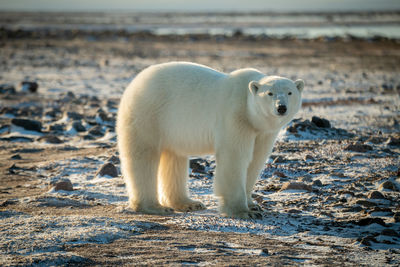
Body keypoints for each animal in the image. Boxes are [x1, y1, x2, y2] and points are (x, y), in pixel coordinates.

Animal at [117, 62, 304, 220]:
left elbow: (255, 161)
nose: (281, 108)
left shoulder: (262, 132)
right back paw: (154, 207)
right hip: (149, 113)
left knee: (174, 159)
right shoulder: (235, 117)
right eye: (270, 93)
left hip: (171, 127)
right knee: (144, 157)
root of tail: (133, 84)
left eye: (290, 92)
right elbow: (235, 158)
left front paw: (253, 205)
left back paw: (188, 203)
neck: (247, 104)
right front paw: (243, 211)